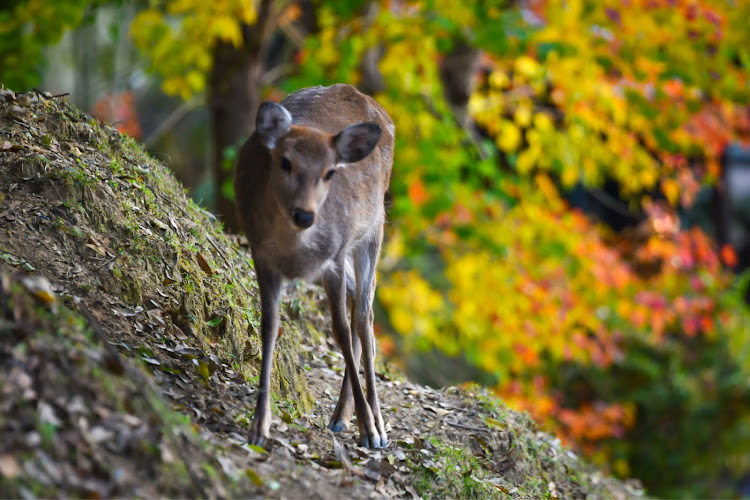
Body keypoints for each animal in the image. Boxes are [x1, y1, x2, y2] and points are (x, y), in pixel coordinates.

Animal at [236, 84, 396, 448]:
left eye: (330, 172)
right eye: (285, 162)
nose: (305, 214)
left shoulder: (333, 257)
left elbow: (339, 331)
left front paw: (369, 429)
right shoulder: (261, 255)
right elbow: (269, 326)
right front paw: (259, 425)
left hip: (373, 228)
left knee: (364, 316)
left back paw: (376, 425)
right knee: (360, 308)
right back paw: (341, 416)